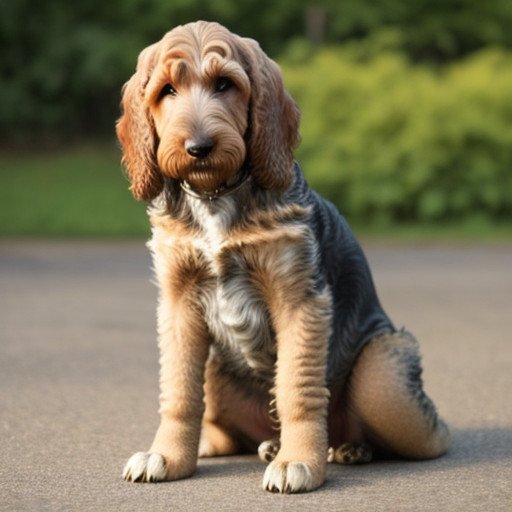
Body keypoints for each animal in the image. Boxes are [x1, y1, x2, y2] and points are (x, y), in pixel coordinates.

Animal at [115, 20, 448, 492]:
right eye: (167, 91)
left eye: (225, 84)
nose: (198, 147)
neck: (217, 196)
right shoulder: (178, 303)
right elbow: (178, 392)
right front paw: (166, 455)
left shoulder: (300, 300)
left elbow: (297, 388)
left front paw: (298, 461)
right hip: (217, 368)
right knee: (225, 427)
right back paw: (256, 445)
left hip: (384, 376)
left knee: (421, 432)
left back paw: (344, 447)